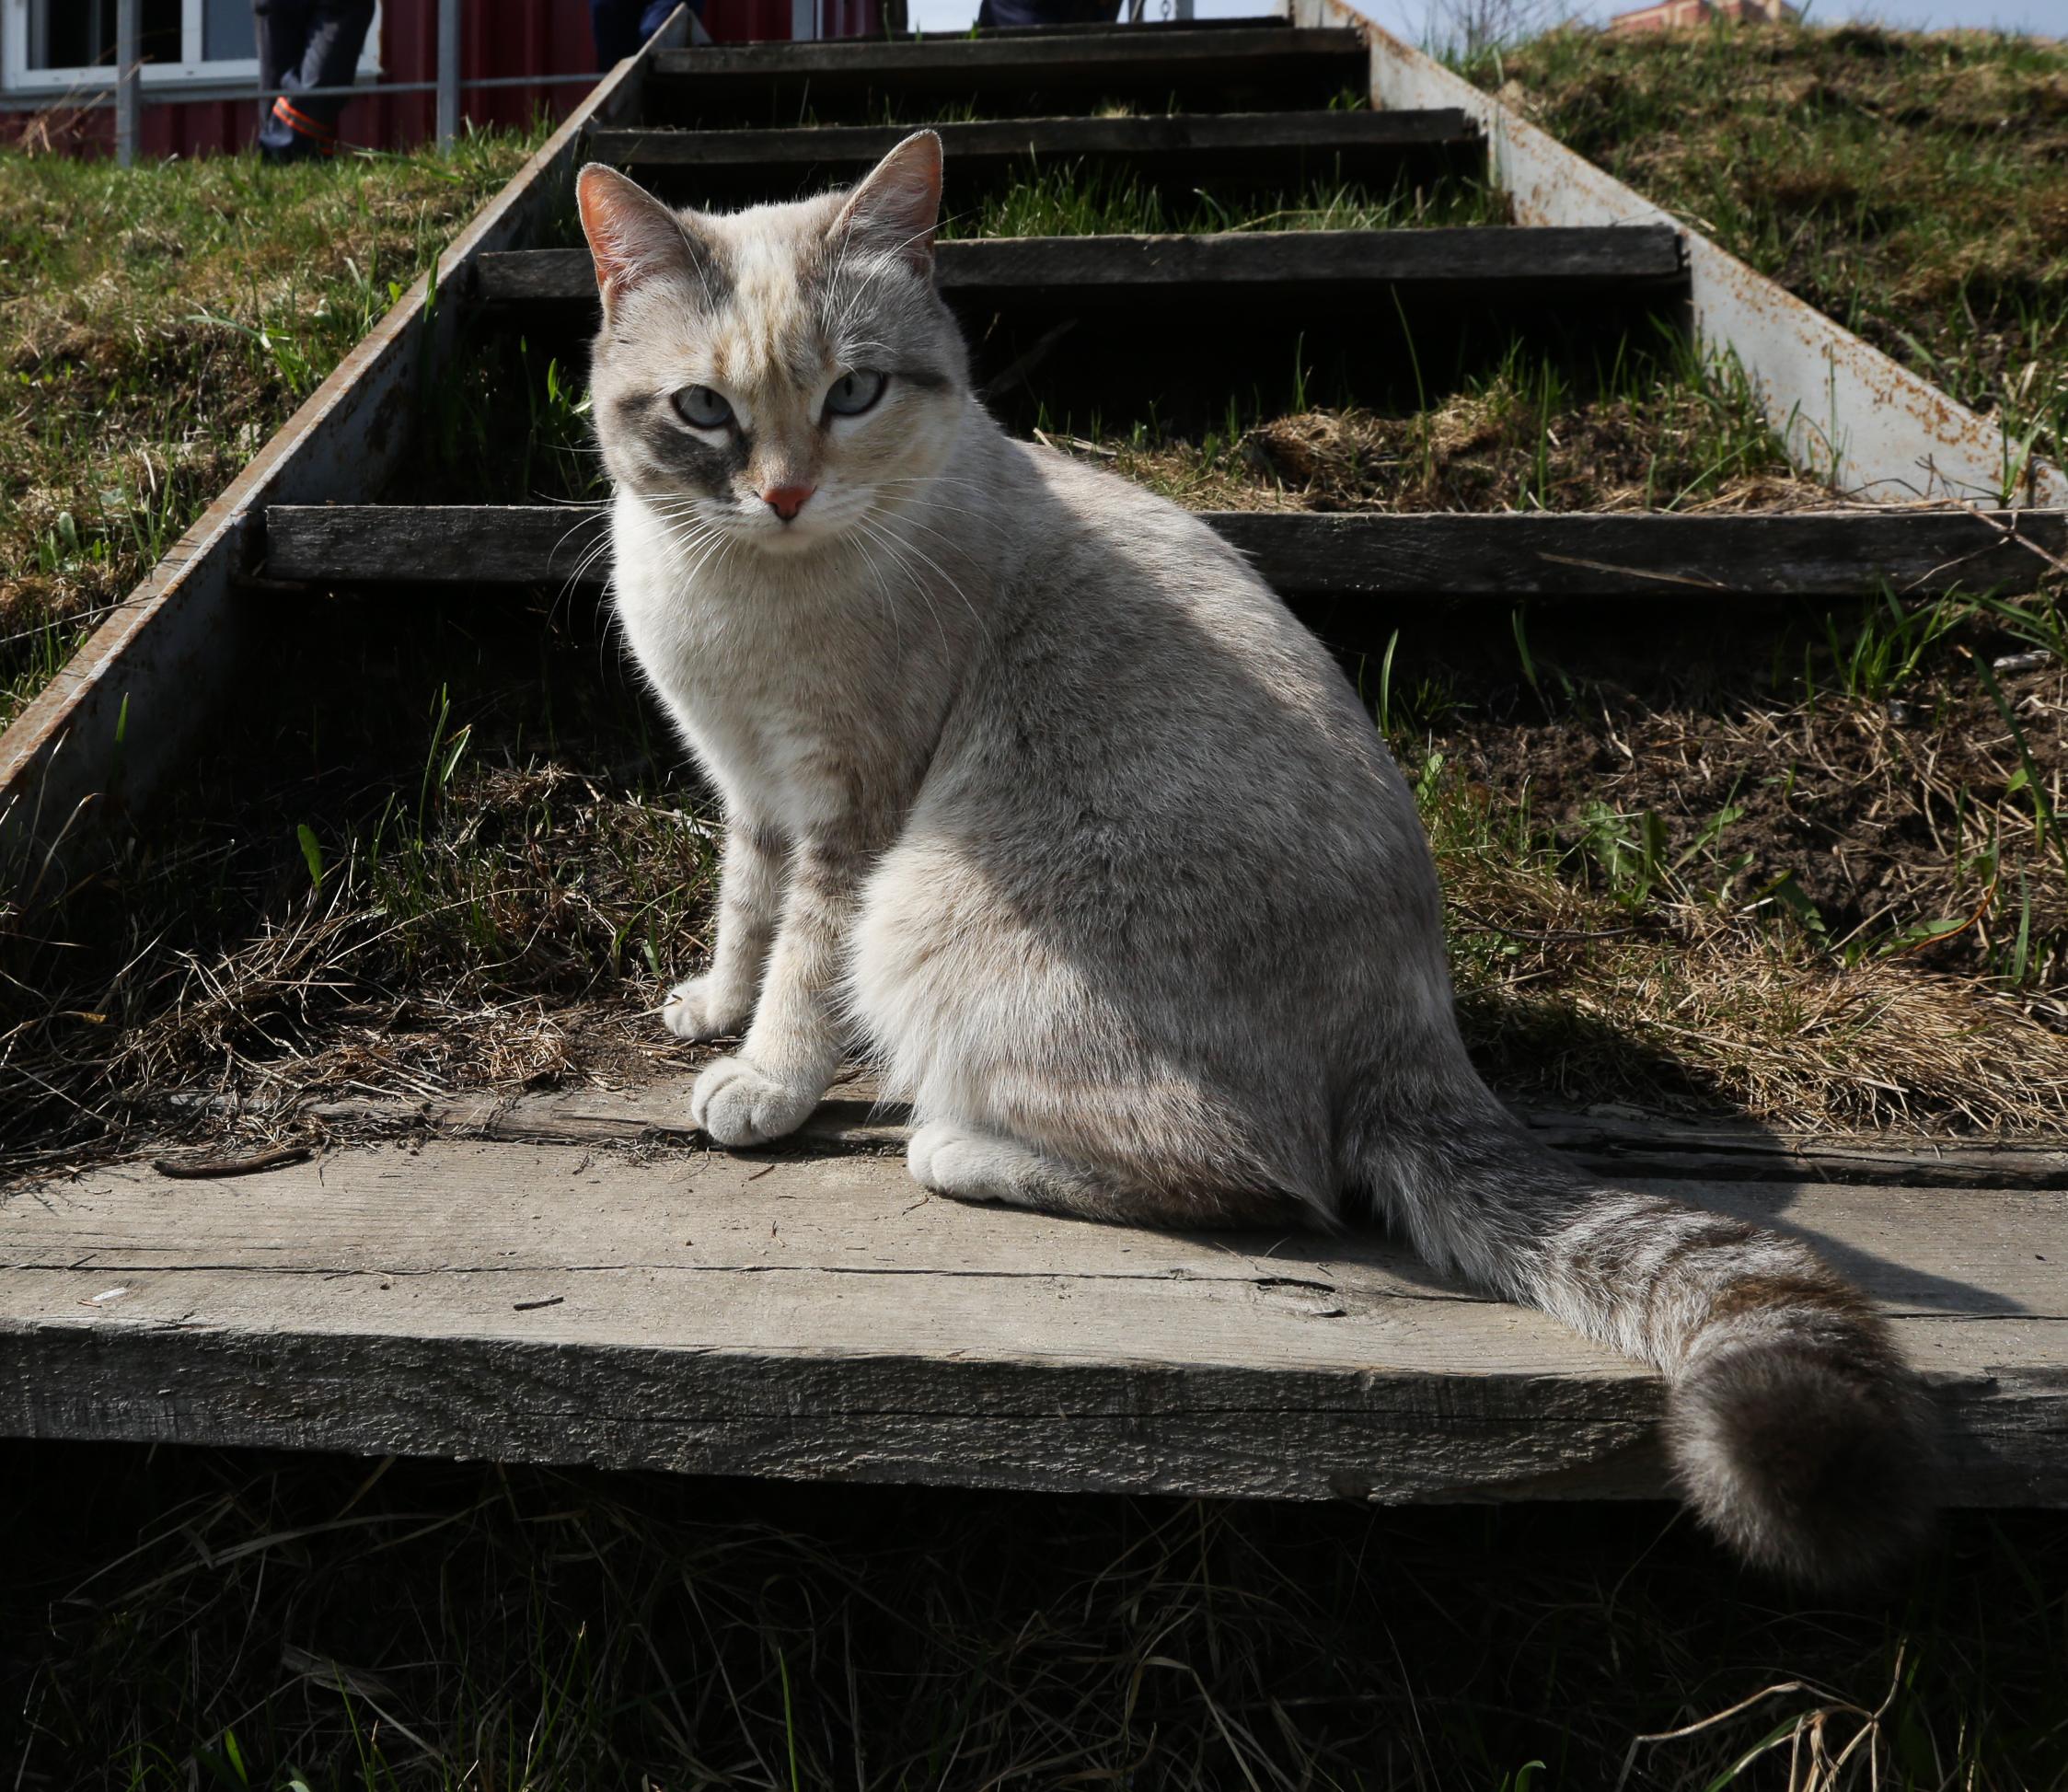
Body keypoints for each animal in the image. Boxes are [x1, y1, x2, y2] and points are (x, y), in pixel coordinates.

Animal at [574, 129, 1927, 1580]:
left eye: (855, 393)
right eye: (703, 412)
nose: (782, 494)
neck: (729, 587)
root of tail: (1419, 1036)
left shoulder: (849, 810)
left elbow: (802, 963)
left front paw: (761, 1083)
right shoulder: (748, 784)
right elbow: (744, 911)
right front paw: (707, 1007)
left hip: (928, 914)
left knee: (1267, 1173)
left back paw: (951, 1144)